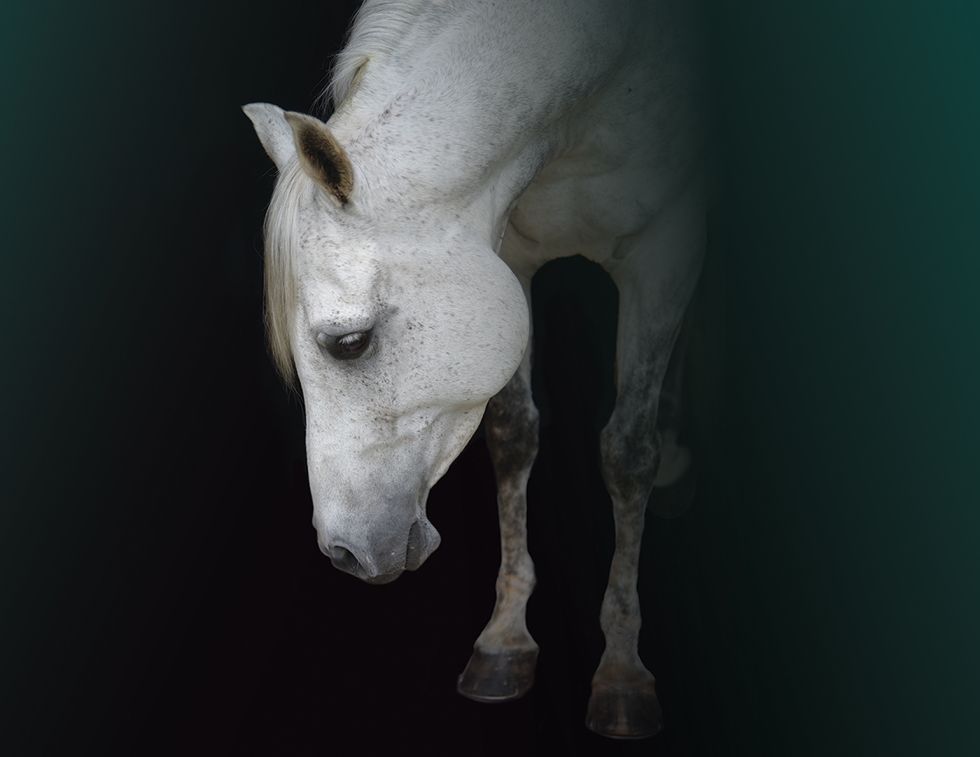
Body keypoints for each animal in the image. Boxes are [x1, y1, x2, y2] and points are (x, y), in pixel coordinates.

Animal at [243, 0, 704, 739]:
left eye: (350, 342)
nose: (344, 552)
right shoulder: (506, 258)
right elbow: (514, 433)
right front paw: (505, 639)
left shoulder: (664, 254)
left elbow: (627, 452)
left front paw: (623, 671)